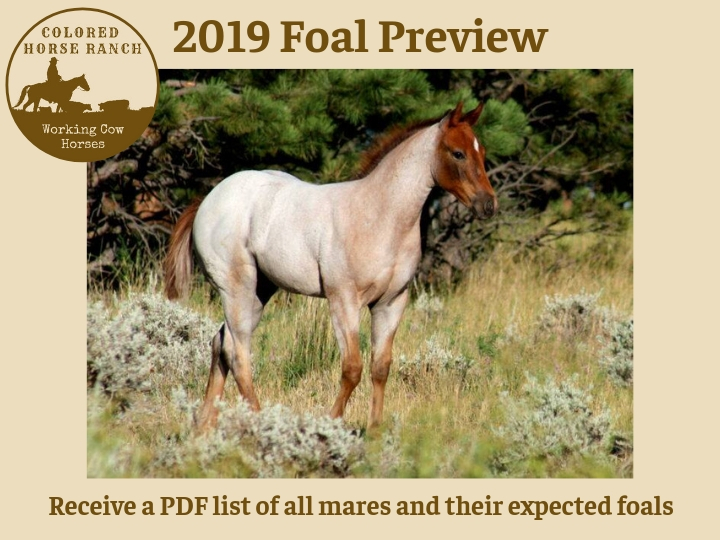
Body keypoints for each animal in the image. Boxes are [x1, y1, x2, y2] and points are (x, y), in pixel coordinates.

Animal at [164, 102, 498, 431]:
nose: (488, 204)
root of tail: (208, 199)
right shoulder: (344, 301)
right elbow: (352, 368)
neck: (379, 215)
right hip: (237, 289)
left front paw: (375, 432)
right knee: (238, 354)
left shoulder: (391, 303)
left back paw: (205, 425)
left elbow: (380, 367)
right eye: (458, 153)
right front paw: (331, 423)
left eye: (481, 151)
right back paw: (262, 424)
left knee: (221, 343)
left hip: (260, 291)